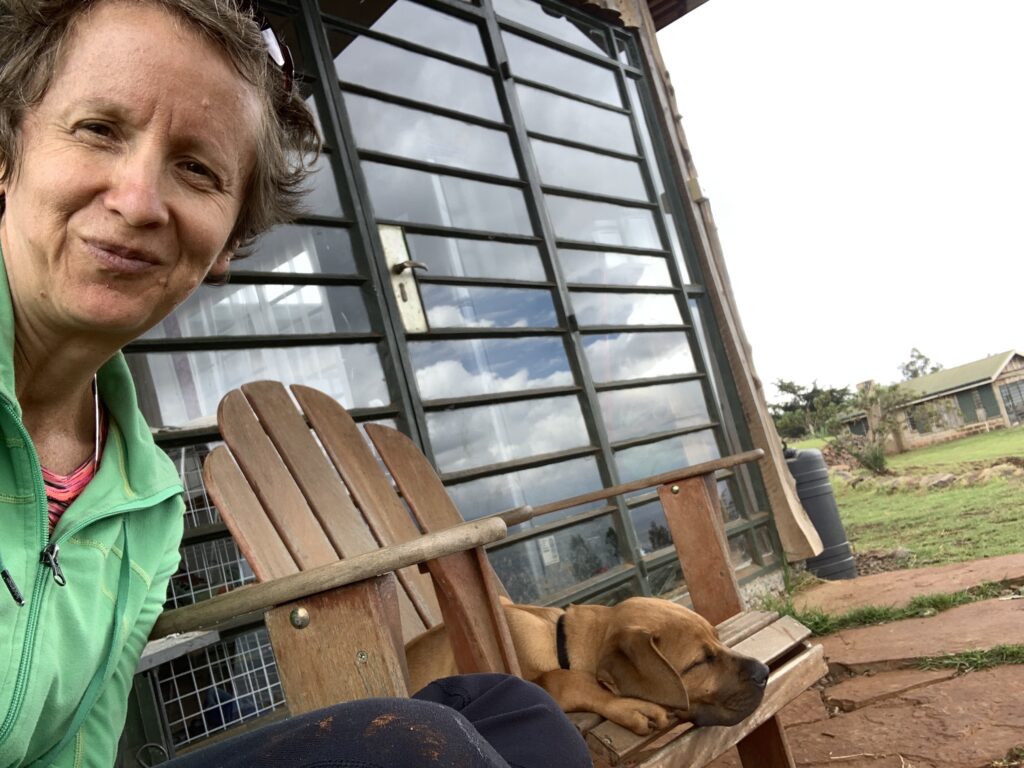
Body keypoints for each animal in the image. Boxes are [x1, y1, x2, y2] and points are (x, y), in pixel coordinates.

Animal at [405, 593, 770, 733]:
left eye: (718, 639)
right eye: (700, 662)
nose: (764, 672)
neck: (559, 643)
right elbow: (559, 679)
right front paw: (629, 706)